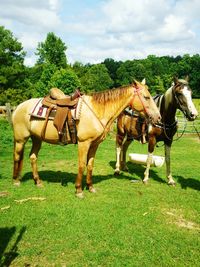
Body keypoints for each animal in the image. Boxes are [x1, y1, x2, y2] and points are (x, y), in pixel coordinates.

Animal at [12, 80, 161, 198]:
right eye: (146, 97)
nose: (158, 117)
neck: (97, 111)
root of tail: (18, 107)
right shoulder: (84, 143)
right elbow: (82, 165)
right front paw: (79, 190)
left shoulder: (94, 144)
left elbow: (90, 165)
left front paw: (90, 187)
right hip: (21, 139)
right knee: (17, 156)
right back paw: (16, 181)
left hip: (36, 139)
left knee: (33, 157)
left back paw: (38, 182)